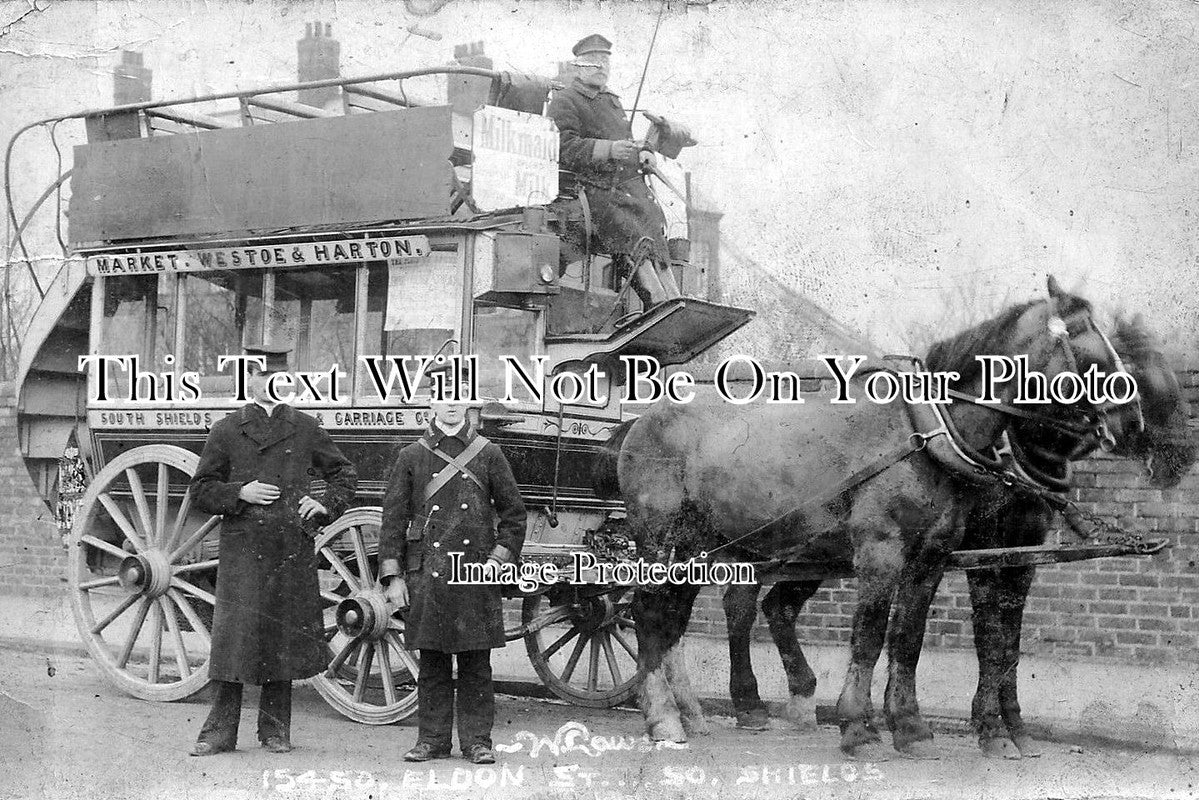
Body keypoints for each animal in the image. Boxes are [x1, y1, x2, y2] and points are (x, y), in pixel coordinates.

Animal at [604, 278, 1146, 762]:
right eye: (1091, 344)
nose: (1134, 421)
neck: (927, 432)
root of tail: (641, 421)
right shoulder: (885, 551)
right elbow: (871, 637)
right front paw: (859, 728)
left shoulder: (936, 557)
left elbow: (910, 639)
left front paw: (911, 728)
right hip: (662, 540)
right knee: (650, 614)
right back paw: (664, 717)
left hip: (709, 546)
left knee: (685, 616)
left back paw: (695, 714)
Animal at [714, 309, 1194, 762]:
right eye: (1132, 371)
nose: (1181, 459)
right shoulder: (983, 557)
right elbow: (990, 642)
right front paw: (992, 731)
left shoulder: (1020, 560)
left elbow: (1009, 646)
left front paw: (1015, 729)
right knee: (741, 605)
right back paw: (749, 704)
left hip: (811, 553)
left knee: (776, 606)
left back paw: (797, 699)